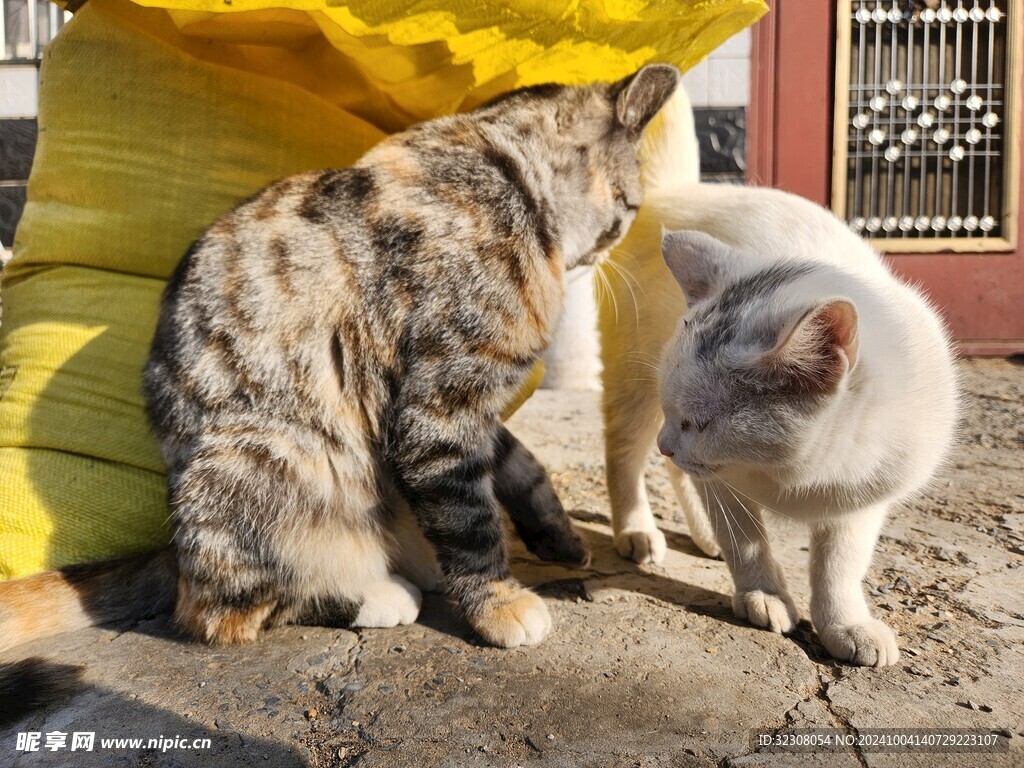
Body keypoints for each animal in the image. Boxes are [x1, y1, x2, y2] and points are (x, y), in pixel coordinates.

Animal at [598, 90, 958, 667]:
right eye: (682, 415)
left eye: (698, 422)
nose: (669, 441)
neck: (796, 473)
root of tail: (677, 189)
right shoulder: (720, 475)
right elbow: (745, 538)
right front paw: (763, 593)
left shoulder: (864, 498)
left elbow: (840, 564)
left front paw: (846, 622)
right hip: (631, 383)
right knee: (624, 456)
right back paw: (637, 528)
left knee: (676, 472)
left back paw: (698, 528)